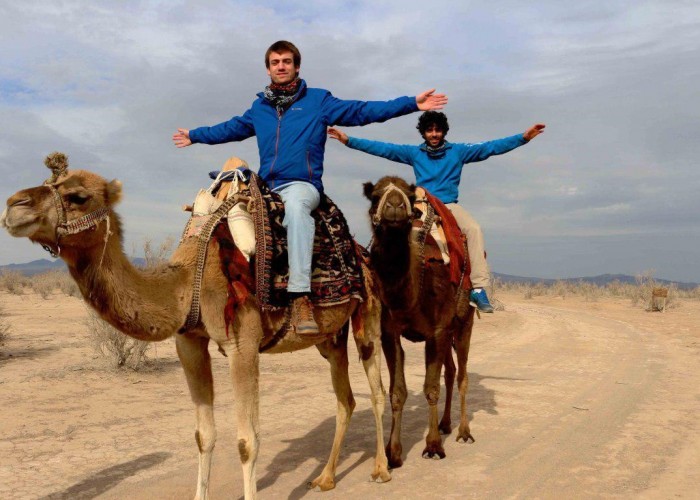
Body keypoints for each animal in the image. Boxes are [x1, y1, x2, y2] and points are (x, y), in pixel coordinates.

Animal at [0, 153, 391, 500]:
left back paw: (381, 469)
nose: (13, 205)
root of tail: (361, 251)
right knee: (345, 399)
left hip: (367, 316)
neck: (188, 283)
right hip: (330, 337)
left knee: (376, 390)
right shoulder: (188, 342)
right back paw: (325, 478)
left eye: (77, 196)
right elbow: (204, 436)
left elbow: (248, 441)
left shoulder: (242, 344)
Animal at [363, 175, 475, 468]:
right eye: (374, 195)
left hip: (464, 323)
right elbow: (397, 392)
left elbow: (431, 388)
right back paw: (446, 423)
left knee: (462, 374)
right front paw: (393, 453)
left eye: (410, 196)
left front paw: (433, 446)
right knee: (451, 370)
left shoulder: (437, 331)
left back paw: (463, 432)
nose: (394, 205)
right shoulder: (390, 333)